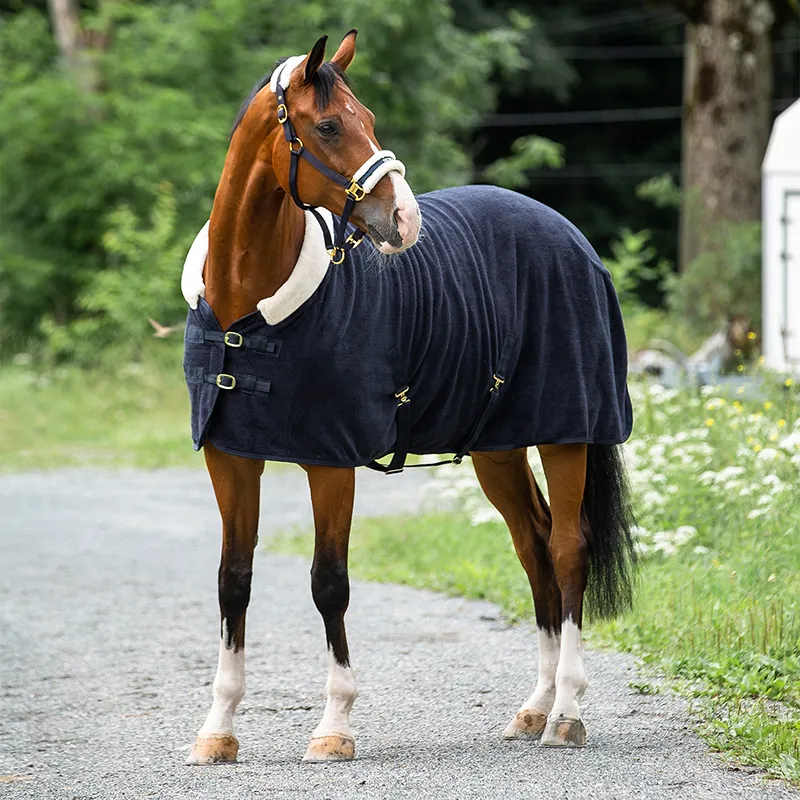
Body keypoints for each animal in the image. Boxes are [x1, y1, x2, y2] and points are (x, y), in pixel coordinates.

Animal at [180, 30, 636, 765]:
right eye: (328, 126)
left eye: (367, 119)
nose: (404, 217)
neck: (248, 307)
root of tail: (570, 236)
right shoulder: (231, 458)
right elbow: (234, 581)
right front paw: (217, 729)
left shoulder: (329, 462)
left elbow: (328, 583)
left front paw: (335, 725)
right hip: (499, 450)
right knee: (534, 548)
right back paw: (534, 709)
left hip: (566, 436)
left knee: (569, 551)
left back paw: (566, 712)